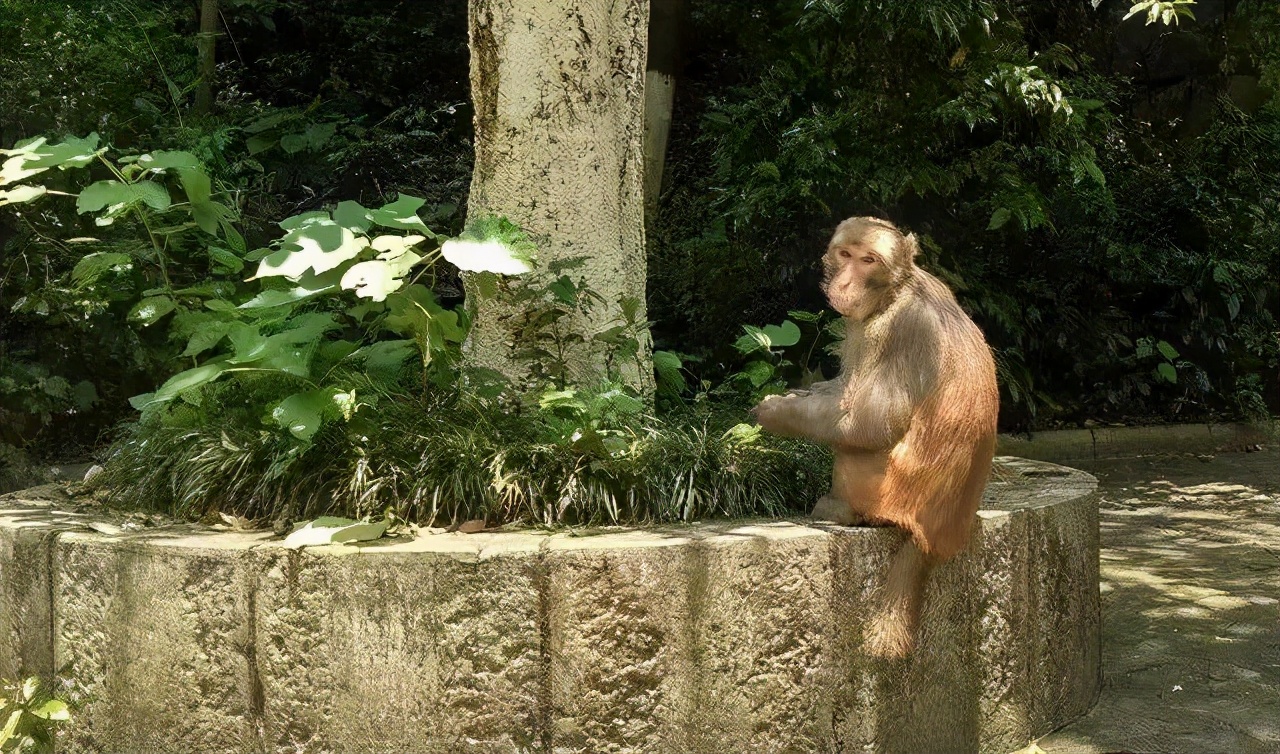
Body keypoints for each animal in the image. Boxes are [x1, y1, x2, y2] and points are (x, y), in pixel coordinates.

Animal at [747, 215, 998, 655]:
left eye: (869, 260)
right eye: (846, 254)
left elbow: (869, 421)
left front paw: (776, 413)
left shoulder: (893, 330)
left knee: (852, 449)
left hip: (883, 488)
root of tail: (939, 535)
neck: (895, 292)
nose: (847, 280)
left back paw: (841, 510)